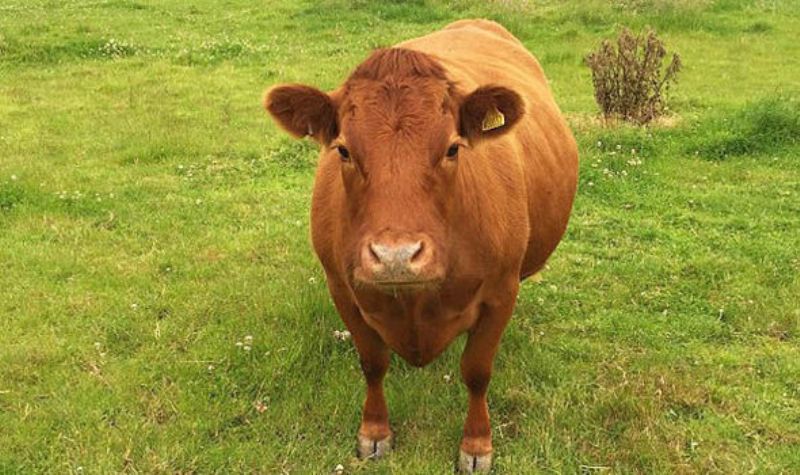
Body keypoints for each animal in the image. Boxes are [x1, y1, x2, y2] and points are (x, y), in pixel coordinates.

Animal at [264, 19, 578, 473]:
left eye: (452, 147)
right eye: (343, 150)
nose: (395, 257)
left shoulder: (501, 293)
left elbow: (477, 370)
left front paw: (476, 445)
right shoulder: (342, 288)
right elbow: (372, 363)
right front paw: (375, 433)